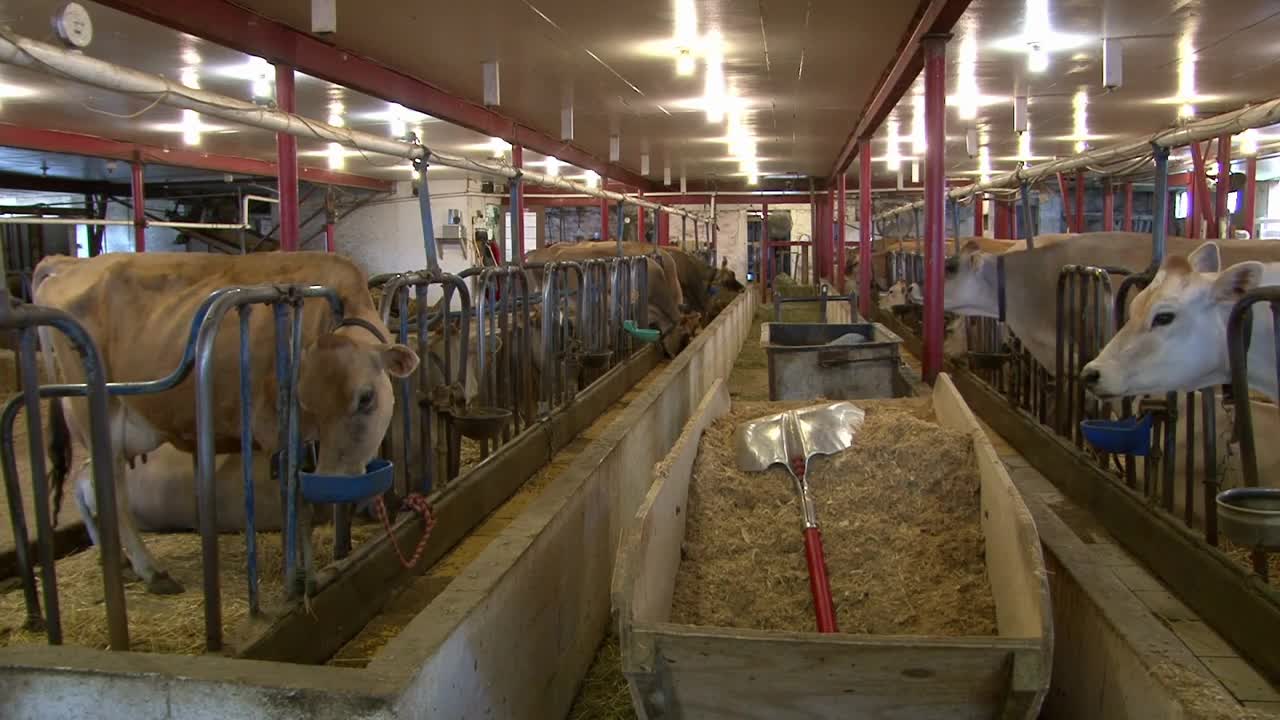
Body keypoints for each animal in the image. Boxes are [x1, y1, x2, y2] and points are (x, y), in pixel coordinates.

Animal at [37, 249, 417, 591]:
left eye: (365, 398)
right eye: (305, 402)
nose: (332, 478)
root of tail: (68, 264)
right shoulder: (271, 426)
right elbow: (295, 500)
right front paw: (303, 576)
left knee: (91, 484)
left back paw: (118, 562)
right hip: (97, 412)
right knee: (108, 491)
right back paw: (152, 572)